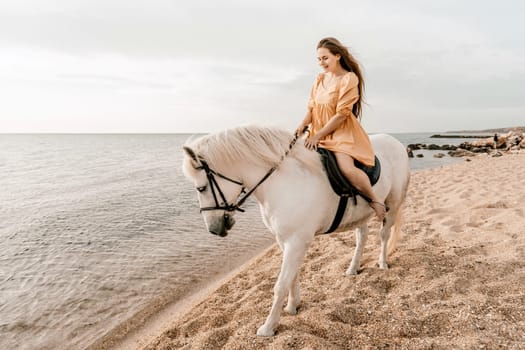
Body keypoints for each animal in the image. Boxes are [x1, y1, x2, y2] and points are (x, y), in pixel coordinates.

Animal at [180, 126, 410, 336]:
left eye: (201, 188)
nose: (213, 229)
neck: (283, 182)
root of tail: (396, 143)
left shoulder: (296, 242)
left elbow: (281, 284)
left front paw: (268, 327)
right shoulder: (286, 241)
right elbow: (292, 276)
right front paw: (292, 306)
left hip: (392, 205)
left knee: (384, 234)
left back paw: (382, 263)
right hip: (360, 215)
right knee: (362, 237)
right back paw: (353, 268)